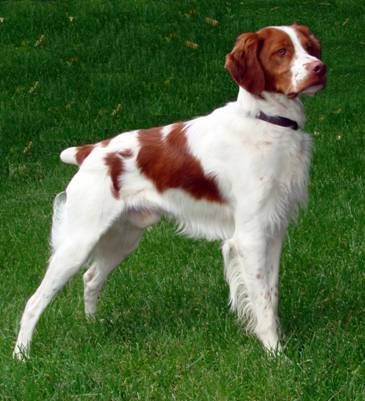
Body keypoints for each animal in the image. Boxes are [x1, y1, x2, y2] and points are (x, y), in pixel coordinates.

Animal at [13, 23, 328, 358]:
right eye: (282, 51)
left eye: (310, 48)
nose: (319, 68)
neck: (267, 122)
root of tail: (90, 152)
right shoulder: (250, 236)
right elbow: (262, 301)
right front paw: (276, 354)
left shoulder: (274, 231)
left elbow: (271, 293)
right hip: (78, 241)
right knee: (34, 301)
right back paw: (22, 356)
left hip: (123, 238)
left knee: (91, 277)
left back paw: (93, 326)